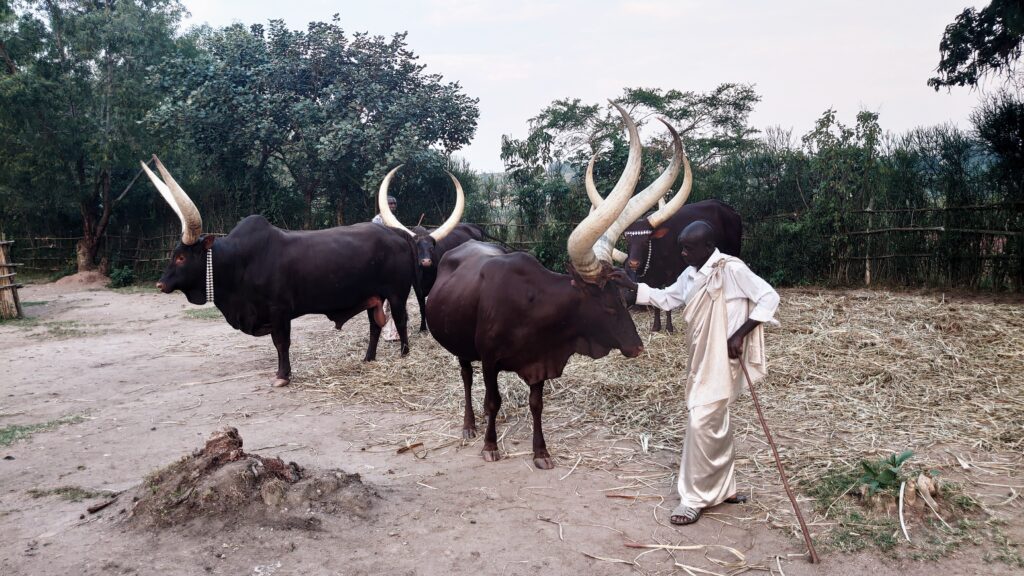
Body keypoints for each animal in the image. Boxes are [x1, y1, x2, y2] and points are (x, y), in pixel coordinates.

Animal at [140, 156, 417, 388]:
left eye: (181, 257)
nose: (160, 284)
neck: (239, 262)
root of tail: (397, 234)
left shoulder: (279, 310)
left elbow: (281, 342)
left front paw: (282, 376)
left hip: (397, 294)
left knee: (400, 320)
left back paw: (404, 354)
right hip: (374, 298)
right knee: (374, 326)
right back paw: (368, 358)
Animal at [372, 168, 484, 332]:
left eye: (432, 248)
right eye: (416, 248)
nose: (425, 261)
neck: (424, 274)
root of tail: (474, 226)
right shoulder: (417, 288)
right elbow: (421, 307)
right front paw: (423, 327)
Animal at [425, 103, 686, 469]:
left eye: (623, 299)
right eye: (607, 305)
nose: (637, 348)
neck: (533, 308)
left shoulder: (540, 363)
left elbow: (536, 404)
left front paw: (541, 452)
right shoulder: (489, 359)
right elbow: (492, 399)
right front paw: (490, 446)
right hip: (461, 346)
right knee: (466, 377)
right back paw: (470, 425)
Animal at [587, 147, 742, 332]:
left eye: (646, 240)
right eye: (627, 239)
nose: (633, 263)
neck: (653, 259)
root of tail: (729, 209)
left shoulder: (670, 277)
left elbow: (667, 303)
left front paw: (668, 327)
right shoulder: (651, 281)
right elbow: (655, 303)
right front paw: (655, 326)